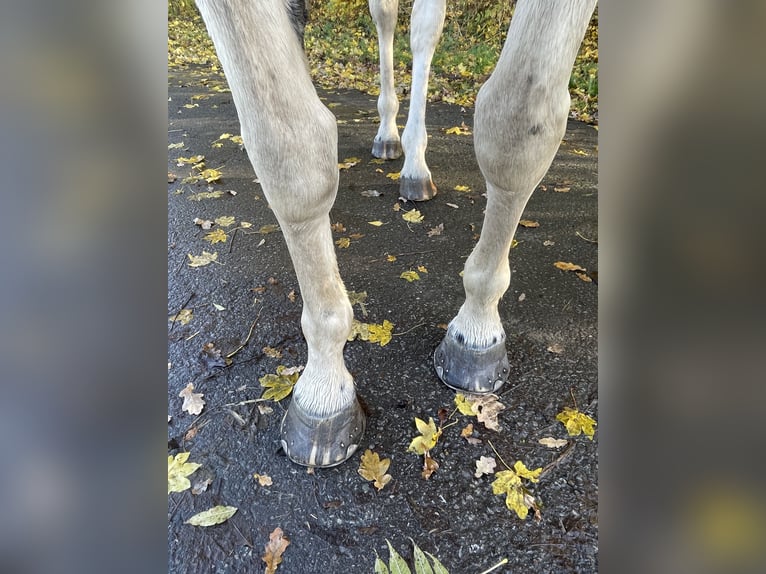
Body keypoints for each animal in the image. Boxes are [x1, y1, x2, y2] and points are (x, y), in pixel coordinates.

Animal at [194, 0, 600, 468]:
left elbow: (521, 120)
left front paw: (478, 326)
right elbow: (288, 151)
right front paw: (323, 392)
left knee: (424, 32)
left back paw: (414, 166)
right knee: (386, 18)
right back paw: (388, 136)